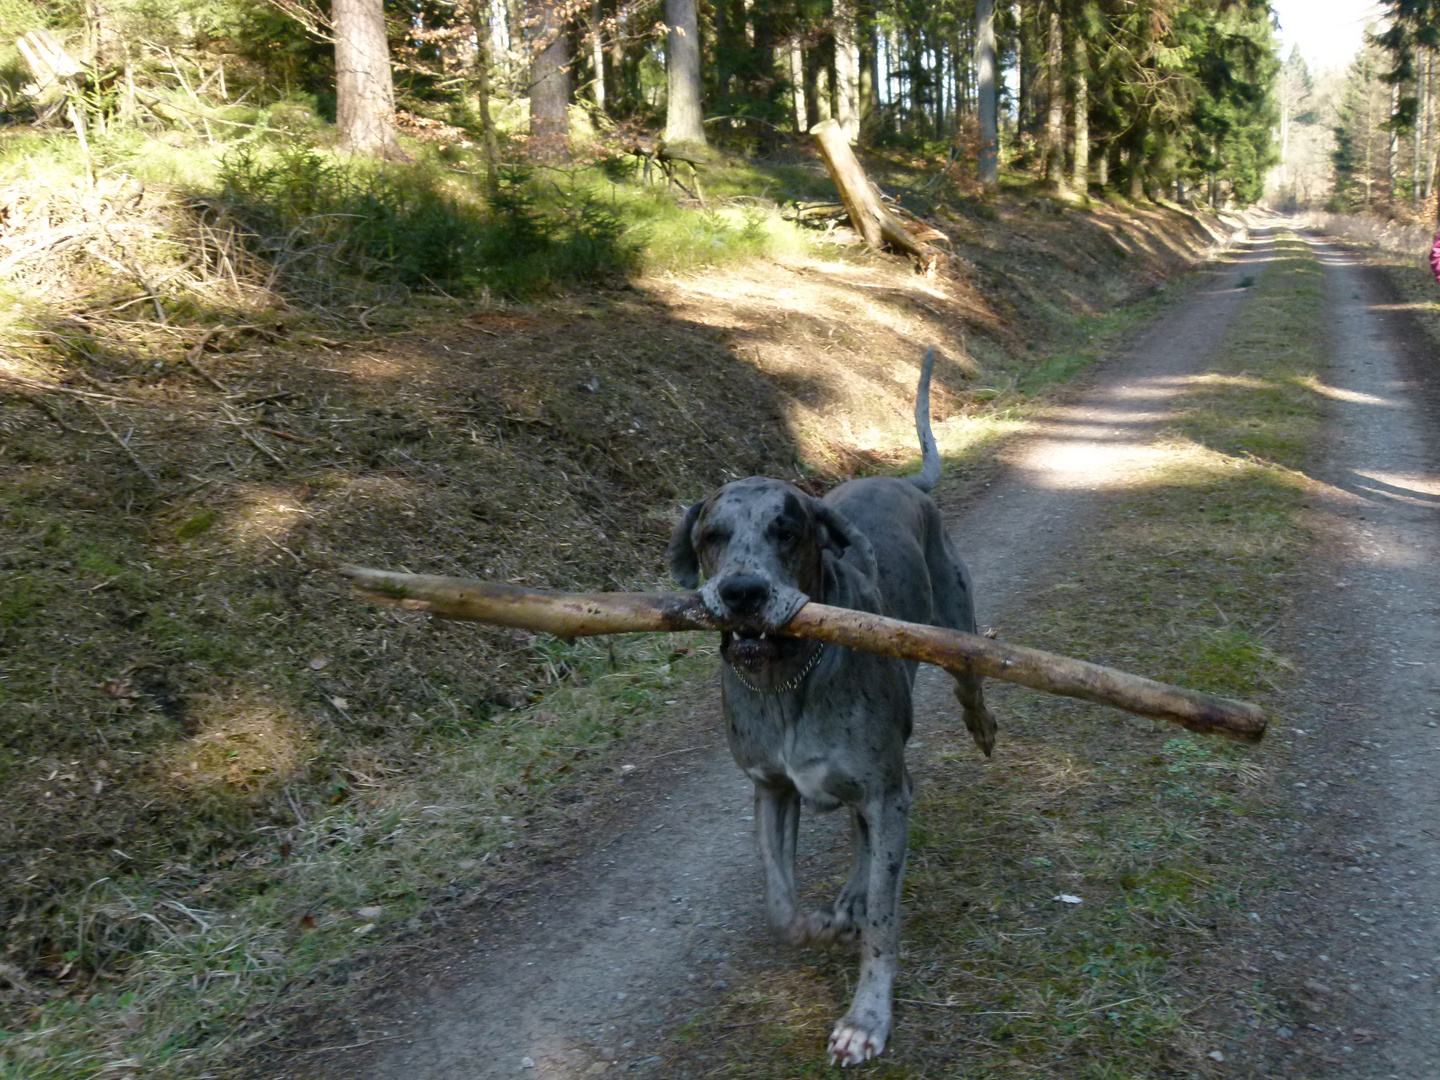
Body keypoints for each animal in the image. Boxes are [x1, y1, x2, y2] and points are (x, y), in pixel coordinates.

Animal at [668, 347, 996, 1065]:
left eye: (787, 531)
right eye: (712, 534)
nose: (741, 592)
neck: (790, 677)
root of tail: (903, 482)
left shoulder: (885, 788)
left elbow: (883, 918)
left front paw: (867, 1017)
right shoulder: (771, 789)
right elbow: (781, 906)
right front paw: (822, 923)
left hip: (954, 634)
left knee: (969, 687)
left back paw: (982, 725)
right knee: (861, 839)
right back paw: (846, 894)